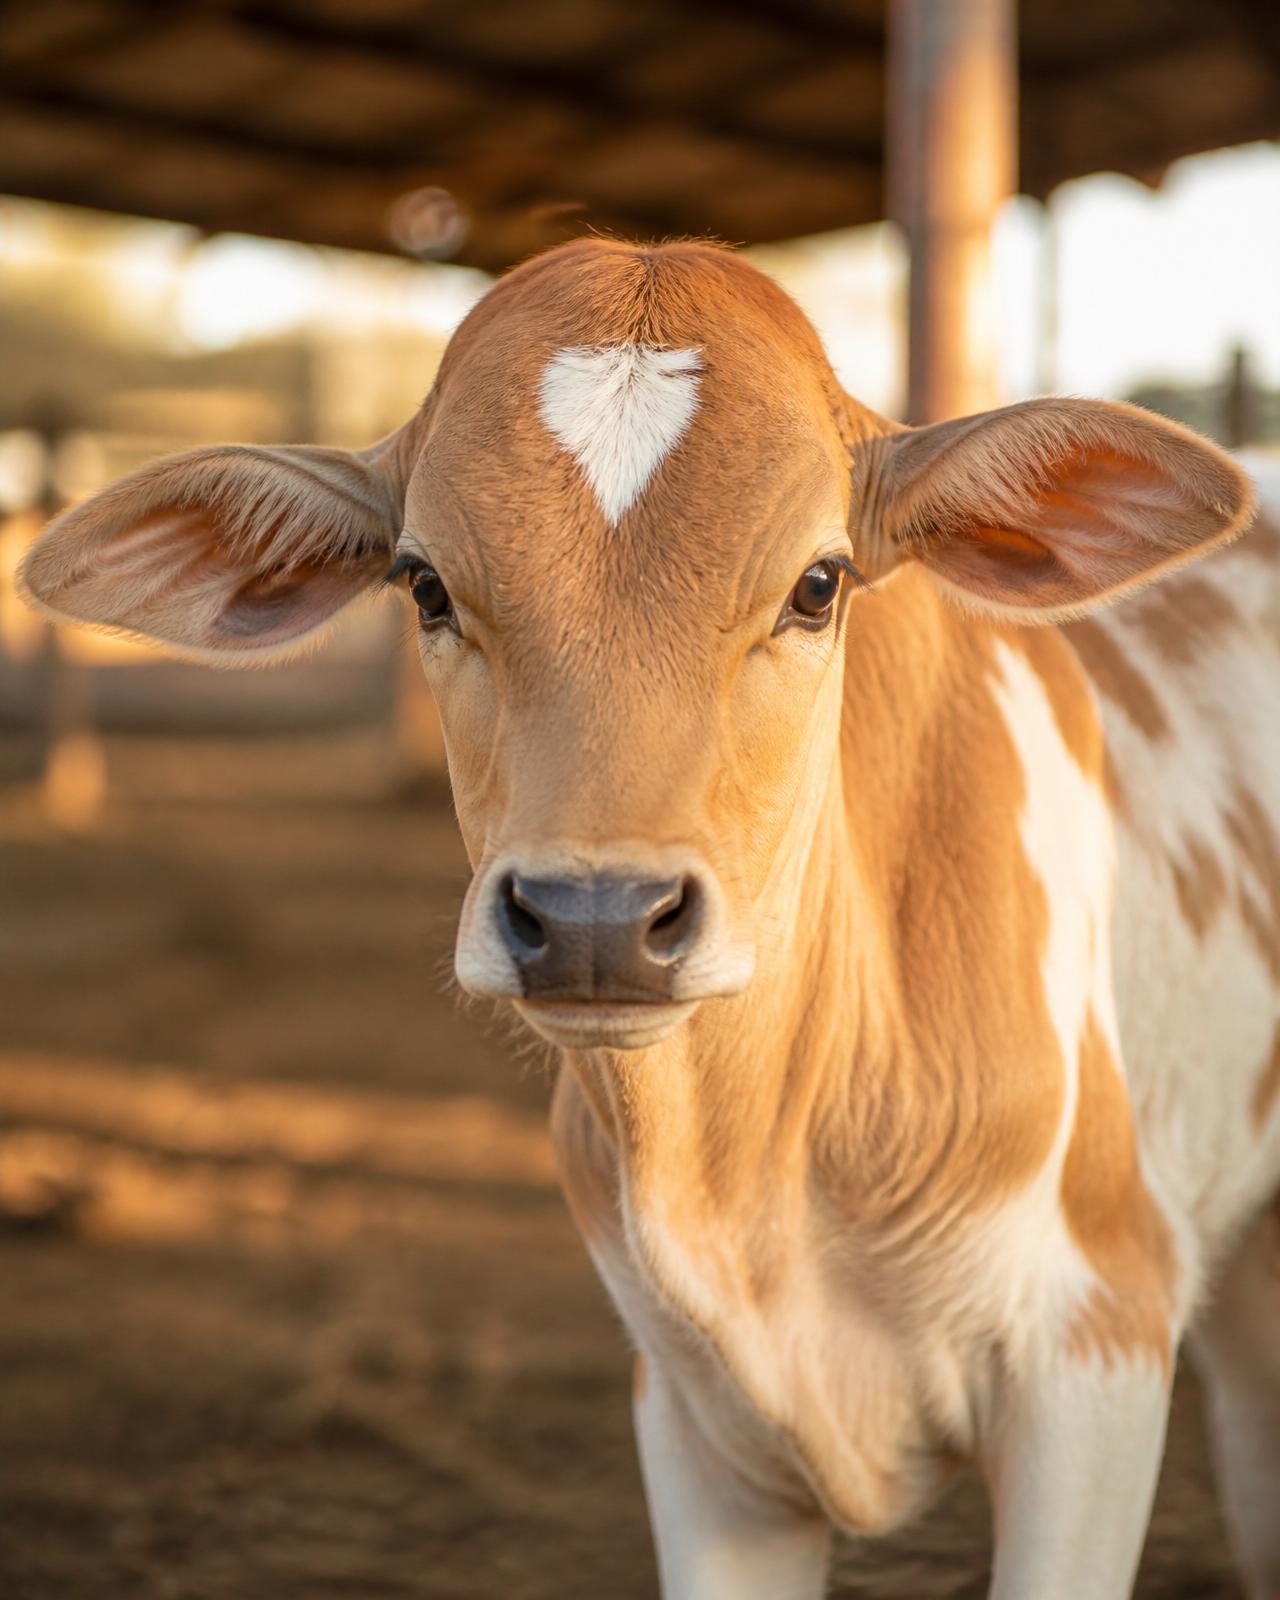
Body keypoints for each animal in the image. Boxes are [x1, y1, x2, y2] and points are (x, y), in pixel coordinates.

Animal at [19, 237, 1280, 1600]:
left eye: (818, 583)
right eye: (423, 584)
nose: (592, 917)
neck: (757, 1175)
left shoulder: (1094, 1346)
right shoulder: (687, 1421)